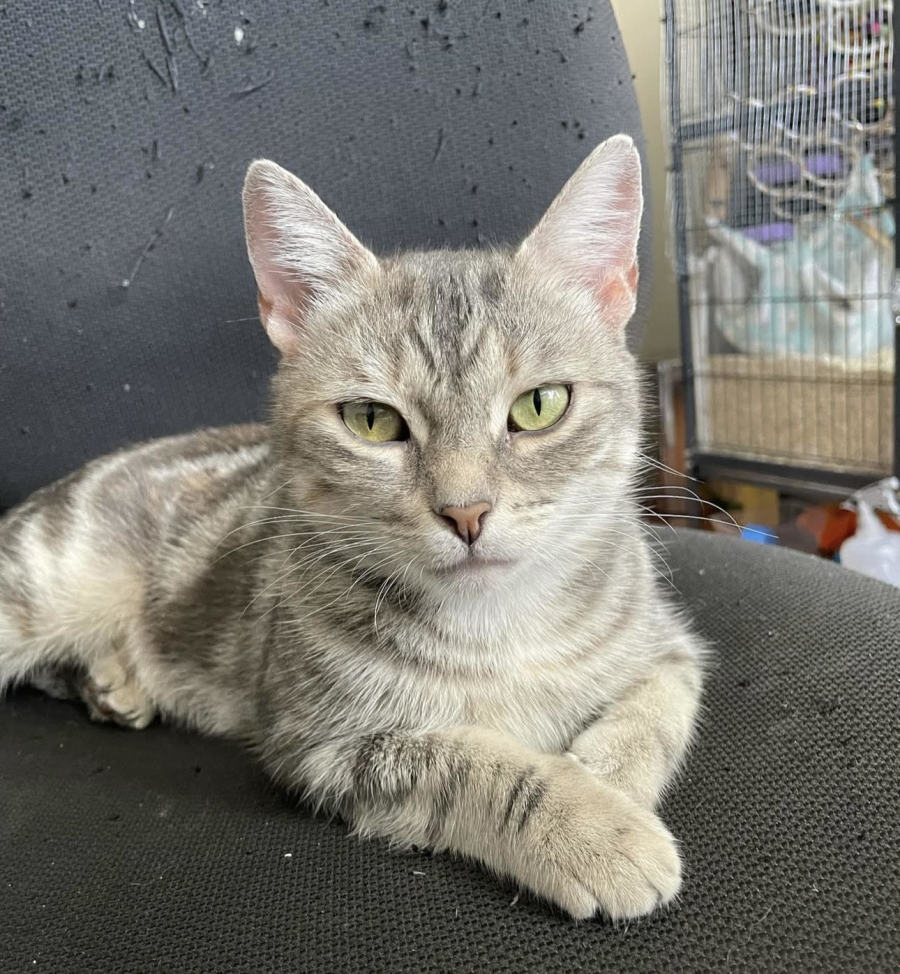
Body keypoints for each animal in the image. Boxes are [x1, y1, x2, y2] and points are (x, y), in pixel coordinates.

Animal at [0, 134, 703, 922]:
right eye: (372, 420)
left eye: (541, 405)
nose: (466, 511)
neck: (497, 625)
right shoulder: (322, 746)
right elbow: (470, 764)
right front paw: (594, 826)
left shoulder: (670, 645)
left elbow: (655, 712)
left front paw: (607, 781)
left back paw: (111, 680)